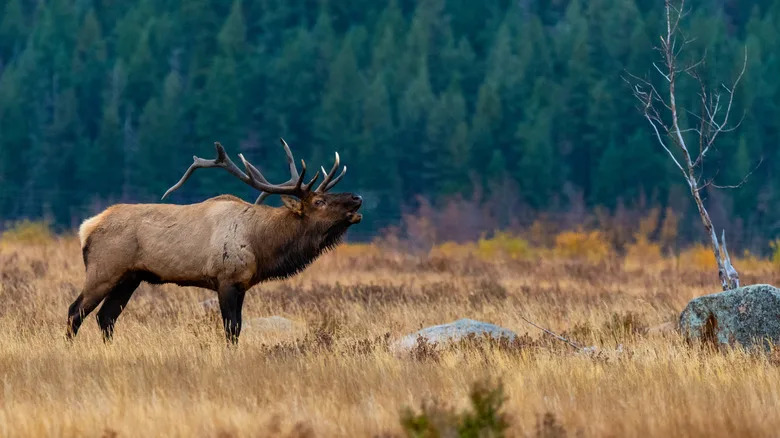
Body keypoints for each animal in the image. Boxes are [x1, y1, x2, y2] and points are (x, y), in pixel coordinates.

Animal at [68, 139, 362, 343]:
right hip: (104, 270)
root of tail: (86, 227)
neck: (261, 245)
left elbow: (238, 329)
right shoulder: (226, 279)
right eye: (319, 201)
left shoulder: (242, 285)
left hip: (130, 277)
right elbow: (231, 329)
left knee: (106, 317)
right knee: (76, 311)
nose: (357, 197)